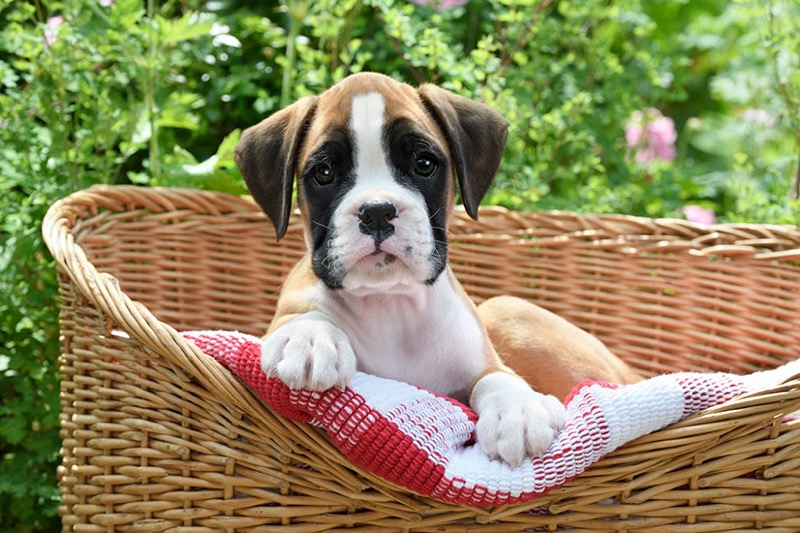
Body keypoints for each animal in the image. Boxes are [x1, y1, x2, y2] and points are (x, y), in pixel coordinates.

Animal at [234, 71, 640, 466]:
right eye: (325, 172)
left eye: (424, 164)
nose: (376, 211)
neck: (391, 305)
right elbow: (301, 308)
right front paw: (309, 338)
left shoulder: (481, 362)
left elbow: (495, 377)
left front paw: (517, 410)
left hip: (504, 310)